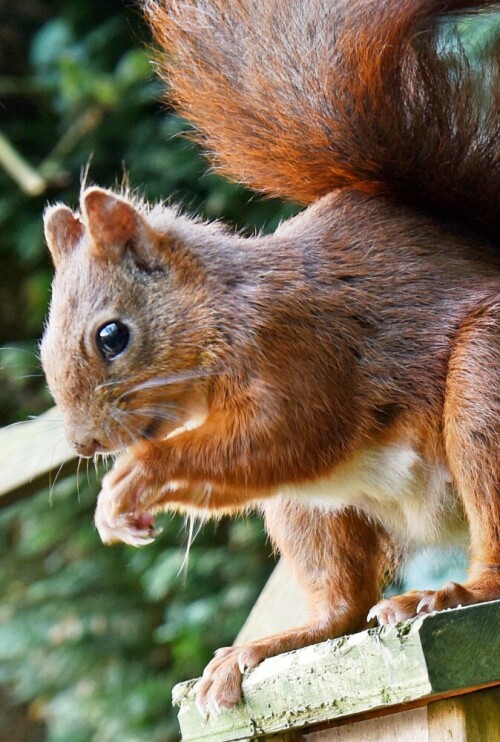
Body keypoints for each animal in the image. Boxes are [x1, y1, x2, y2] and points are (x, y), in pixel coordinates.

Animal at [40, 0, 500, 712]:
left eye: (112, 336)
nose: (86, 445)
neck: (220, 316)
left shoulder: (307, 351)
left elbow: (290, 435)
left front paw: (135, 479)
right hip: (310, 511)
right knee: (343, 605)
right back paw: (263, 648)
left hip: (485, 379)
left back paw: (452, 593)